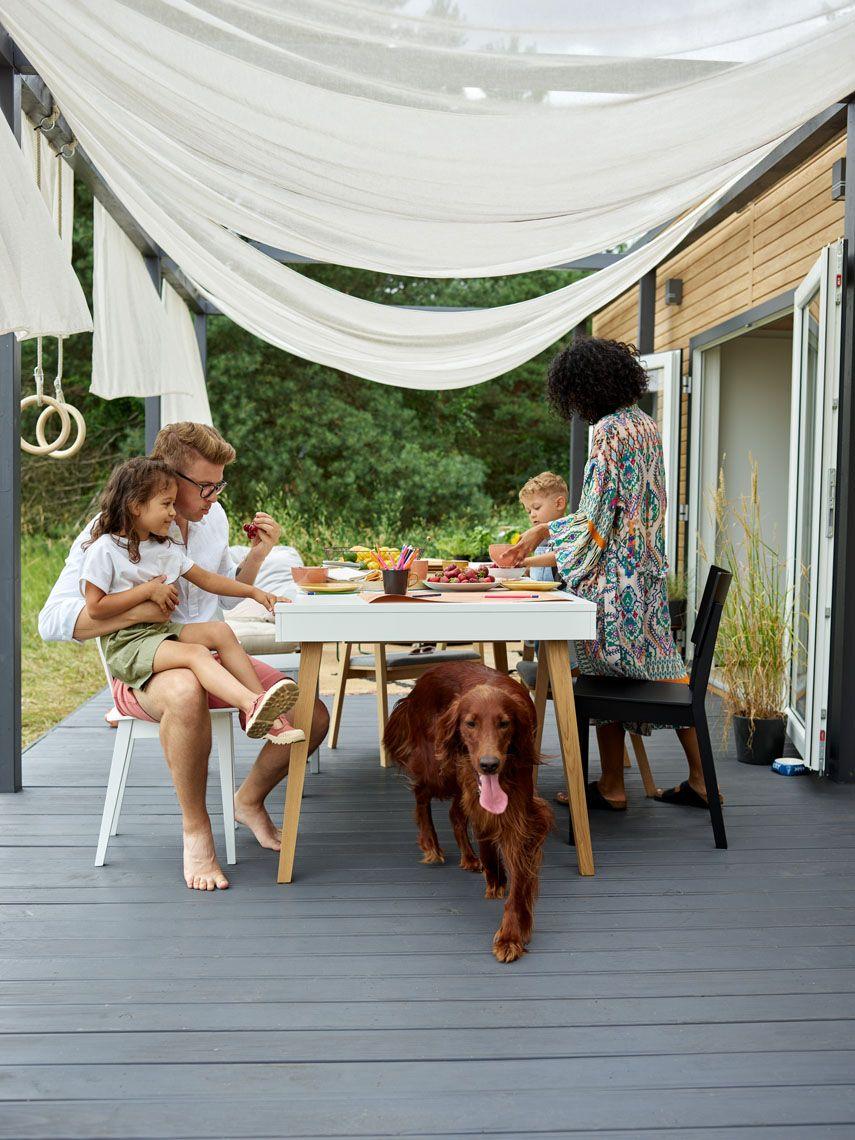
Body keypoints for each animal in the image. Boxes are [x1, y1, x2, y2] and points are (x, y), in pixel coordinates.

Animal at [383, 661, 556, 962]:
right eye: (470, 723)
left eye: (504, 723)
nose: (489, 764)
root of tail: (427, 674)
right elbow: (485, 831)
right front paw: (495, 878)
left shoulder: (522, 815)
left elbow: (518, 877)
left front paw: (511, 935)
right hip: (440, 767)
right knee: (421, 792)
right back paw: (430, 844)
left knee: (454, 812)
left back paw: (470, 858)